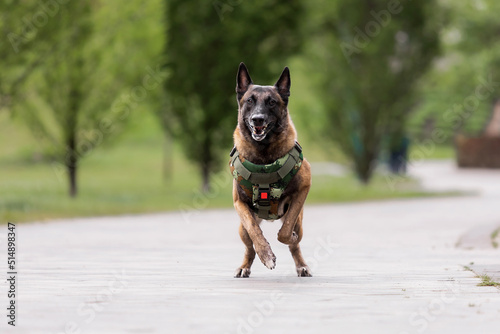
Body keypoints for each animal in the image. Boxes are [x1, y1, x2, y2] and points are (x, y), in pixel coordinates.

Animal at [230, 62, 312, 276]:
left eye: (272, 102)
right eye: (250, 100)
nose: (258, 119)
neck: (263, 155)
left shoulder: (303, 188)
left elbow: (286, 232)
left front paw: (288, 237)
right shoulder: (239, 203)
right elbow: (254, 231)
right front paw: (266, 255)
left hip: (300, 223)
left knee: (295, 243)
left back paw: (301, 264)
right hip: (241, 230)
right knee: (249, 245)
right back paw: (245, 266)